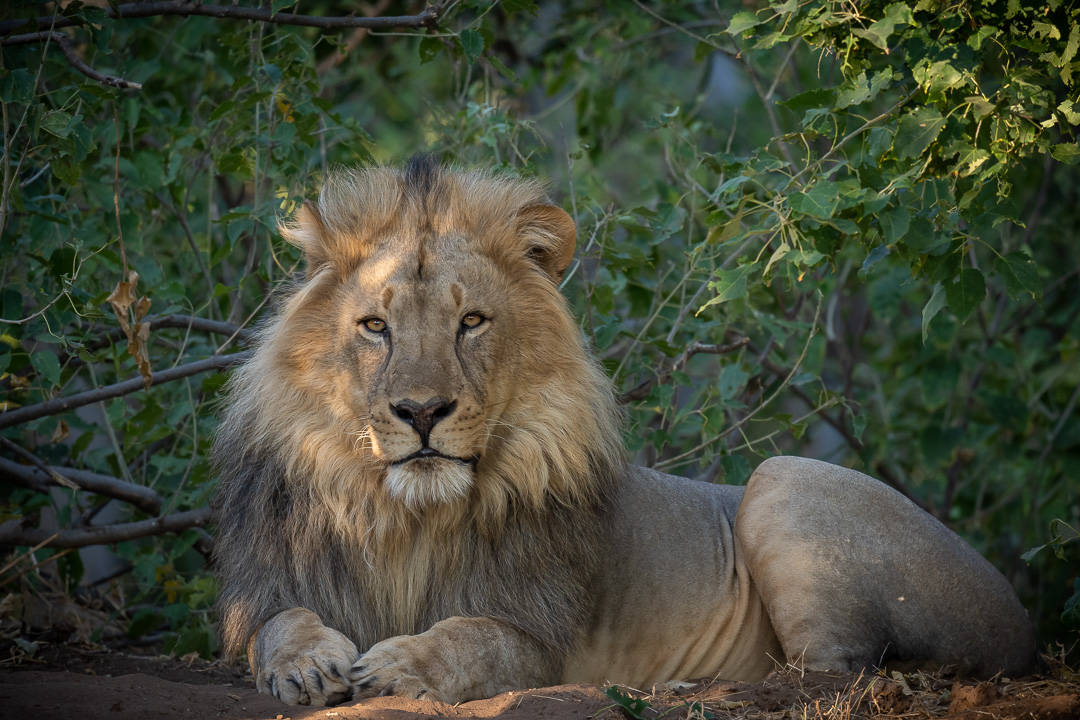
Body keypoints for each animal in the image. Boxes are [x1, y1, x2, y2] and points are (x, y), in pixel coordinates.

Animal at [212, 156, 1038, 707]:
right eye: (375, 327)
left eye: (471, 321)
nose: (421, 412)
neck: (406, 518)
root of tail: (1023, 618)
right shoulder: (274, 584)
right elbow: (280, 622)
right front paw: (308, 664)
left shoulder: (538, 636)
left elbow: (471, 638)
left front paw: (398, 668)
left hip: (783, 479)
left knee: (829, 675)